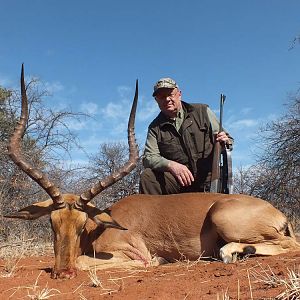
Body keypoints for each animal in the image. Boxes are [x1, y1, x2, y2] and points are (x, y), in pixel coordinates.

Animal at [5, 65, 300, 278]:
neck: (99, 227)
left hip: (224, 218)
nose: (62, 272)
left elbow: (85, 261)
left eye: (81, 224)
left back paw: (232, 253)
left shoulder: (133, 255)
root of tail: (277, 213)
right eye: (52, 223)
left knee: (288, 246)